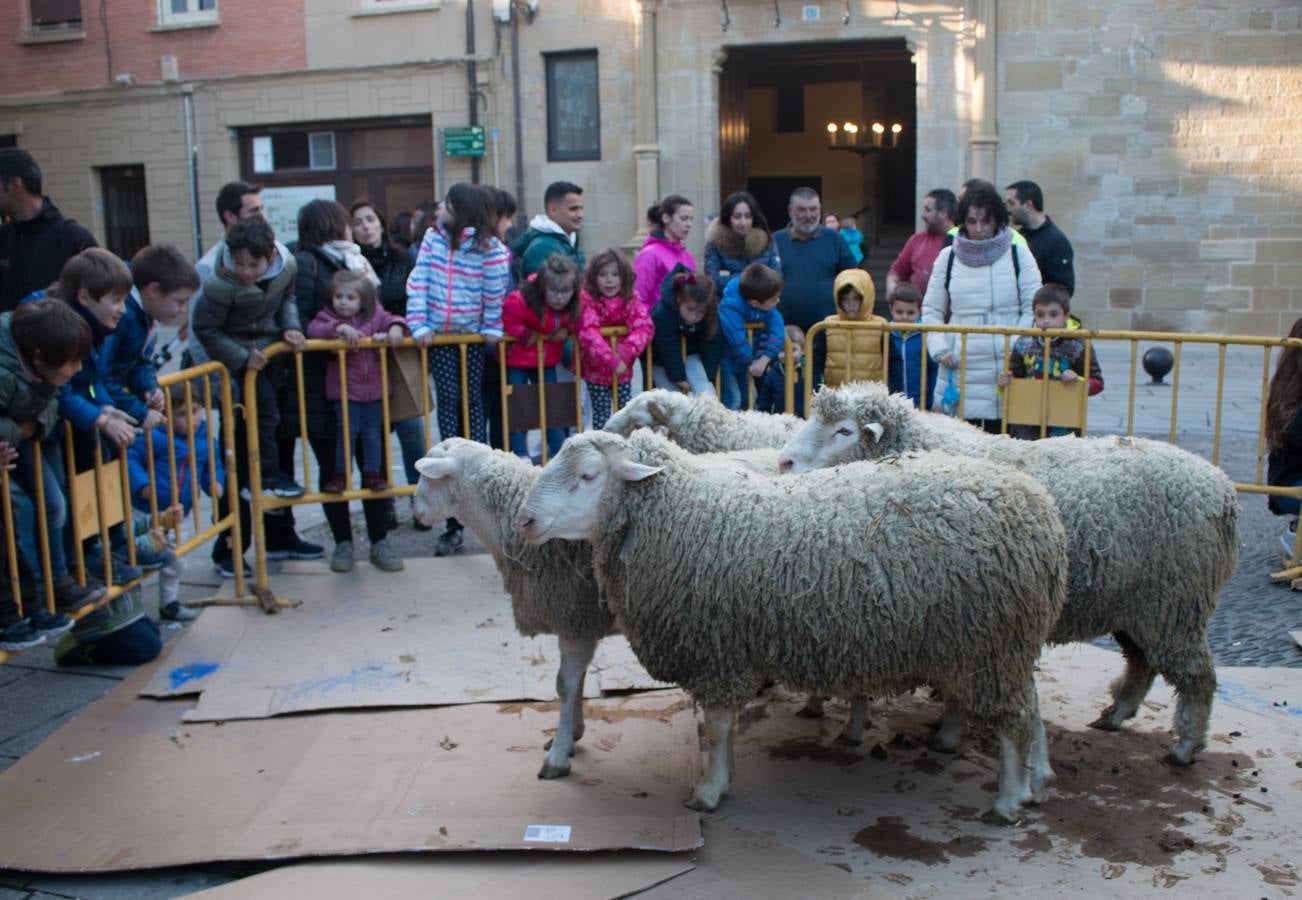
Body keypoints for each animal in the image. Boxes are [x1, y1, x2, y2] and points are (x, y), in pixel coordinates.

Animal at [414, 440, 781, 776]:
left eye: (429, 477)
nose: (417, 513)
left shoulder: (575, 619)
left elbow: (565, 683)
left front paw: (559, 753)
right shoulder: (578, 621)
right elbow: (575, 680)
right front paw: (571, 735)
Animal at [515, 429, 1067, 823]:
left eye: (588, 476)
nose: (525, 522)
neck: (681, 512)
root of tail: (1041, 510)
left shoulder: (717, 649)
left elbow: (717, 725)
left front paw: (709, 790)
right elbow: (721, 726)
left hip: (991, 644)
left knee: (1013, 719)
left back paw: (1008, 801)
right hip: (992, 644)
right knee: (1030, 705)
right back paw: (1035, 783)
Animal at [770, 382, 1239, 765]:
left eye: (845, 431)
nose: (783, 463)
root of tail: (1222, 488)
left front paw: (947, 731)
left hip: (1175, 603)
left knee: (1198, 676)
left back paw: (1184, 747)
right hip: (1141, 606)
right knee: (1142, 662)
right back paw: (1115, 715)